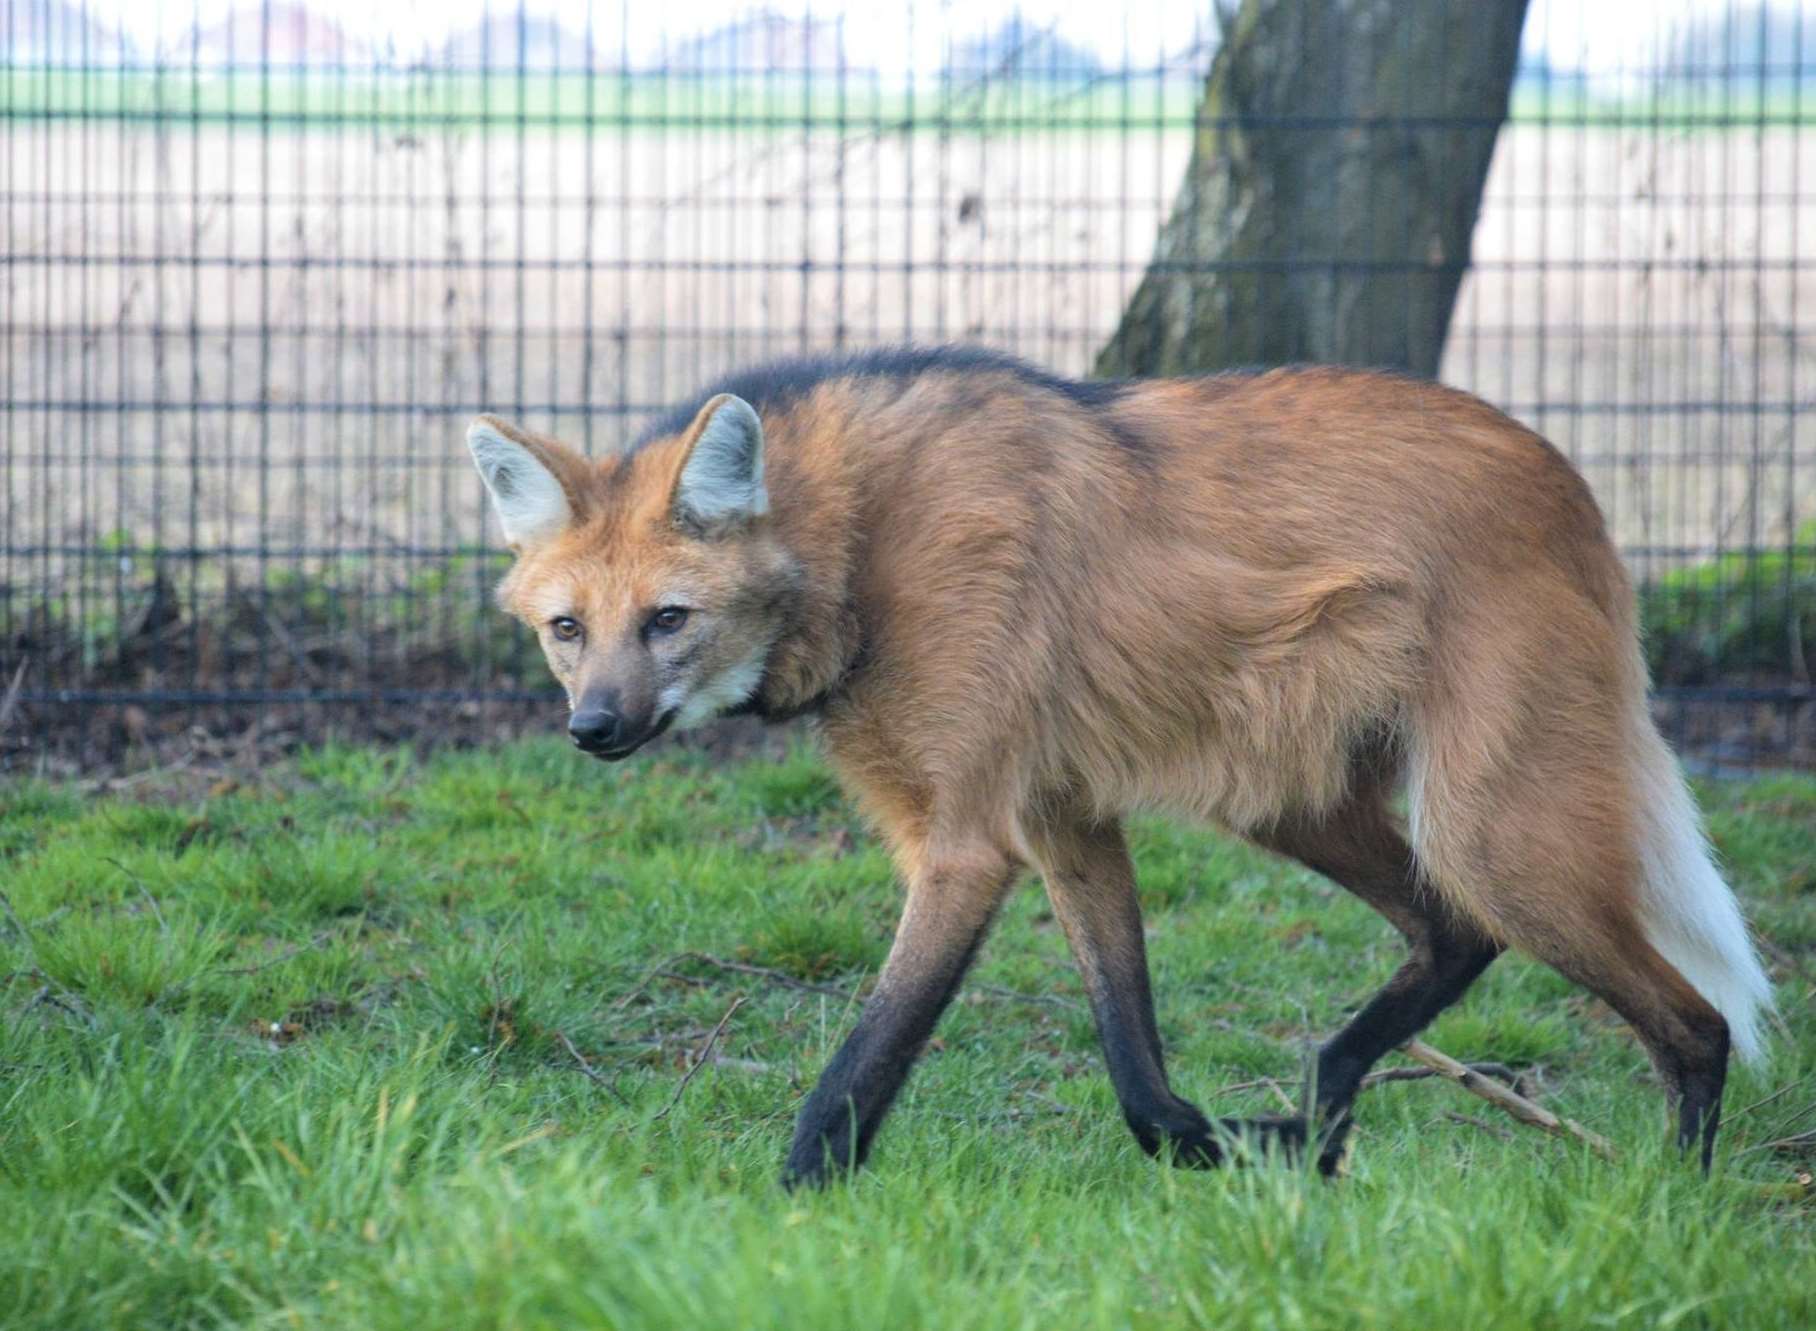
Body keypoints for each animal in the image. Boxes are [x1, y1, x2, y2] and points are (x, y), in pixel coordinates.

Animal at [468, 345, 1772, 1183]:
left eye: (669, 619)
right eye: (568, 628)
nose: (594, 727)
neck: (858, 545)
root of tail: (1567, 474)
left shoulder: (968, 845)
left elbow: (861, 1059)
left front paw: (786, 1210)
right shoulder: (1063, 817)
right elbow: (1132, 1060)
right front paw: (1205, 1148)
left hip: (1485, 824)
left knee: (1691, 1017)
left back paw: (1672, 1201)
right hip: (1289, 798)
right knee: (1456, 930)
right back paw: (1319, 1114)